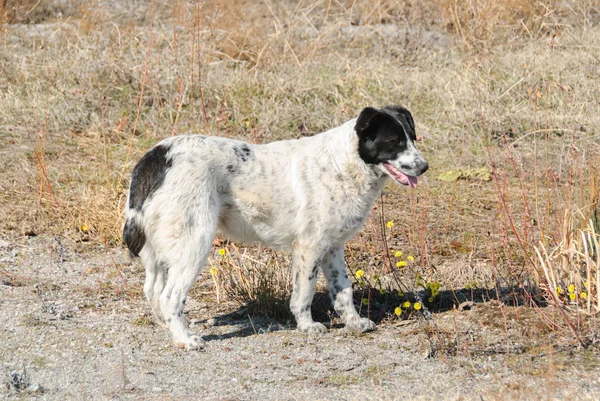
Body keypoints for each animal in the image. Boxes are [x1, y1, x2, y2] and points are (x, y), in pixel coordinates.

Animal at [124, 104, 428, 348]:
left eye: (412, 138)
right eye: (394, 141)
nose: (424, 166)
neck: (343, 163)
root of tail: (156, 157)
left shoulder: (333, 249)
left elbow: (343, 290)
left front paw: (354, 322)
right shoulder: (309, 247)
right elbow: (303, 294)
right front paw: (307, 327)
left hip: (158, 251)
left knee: (152, 290)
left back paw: (167, 327)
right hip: (193, 244)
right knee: (170, 297)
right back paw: (185, 340)